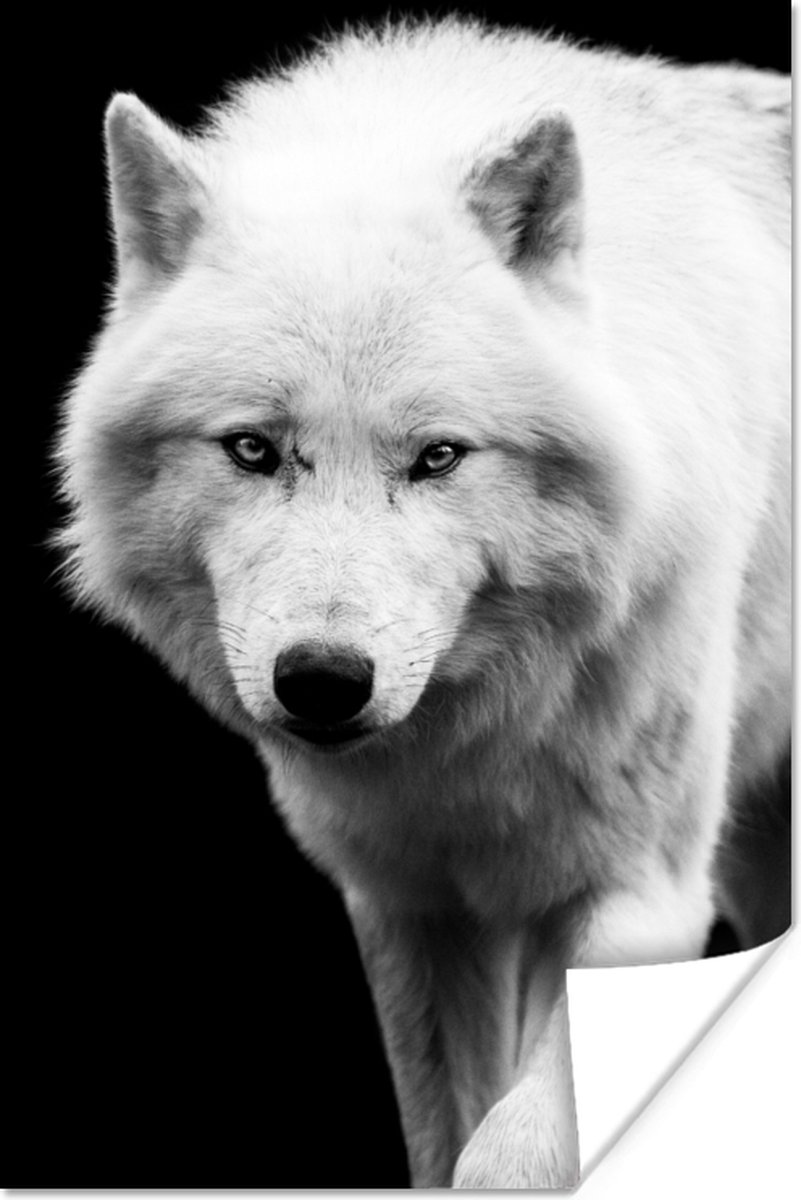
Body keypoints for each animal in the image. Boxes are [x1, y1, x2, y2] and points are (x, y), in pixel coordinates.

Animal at [56, 17, 790, 1189]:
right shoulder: (413, 910)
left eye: (438, 456)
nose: (321, 682)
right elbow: (446, 1135)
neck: (476, 745)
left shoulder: (644, 896)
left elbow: (504, 1151)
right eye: (253, 450)